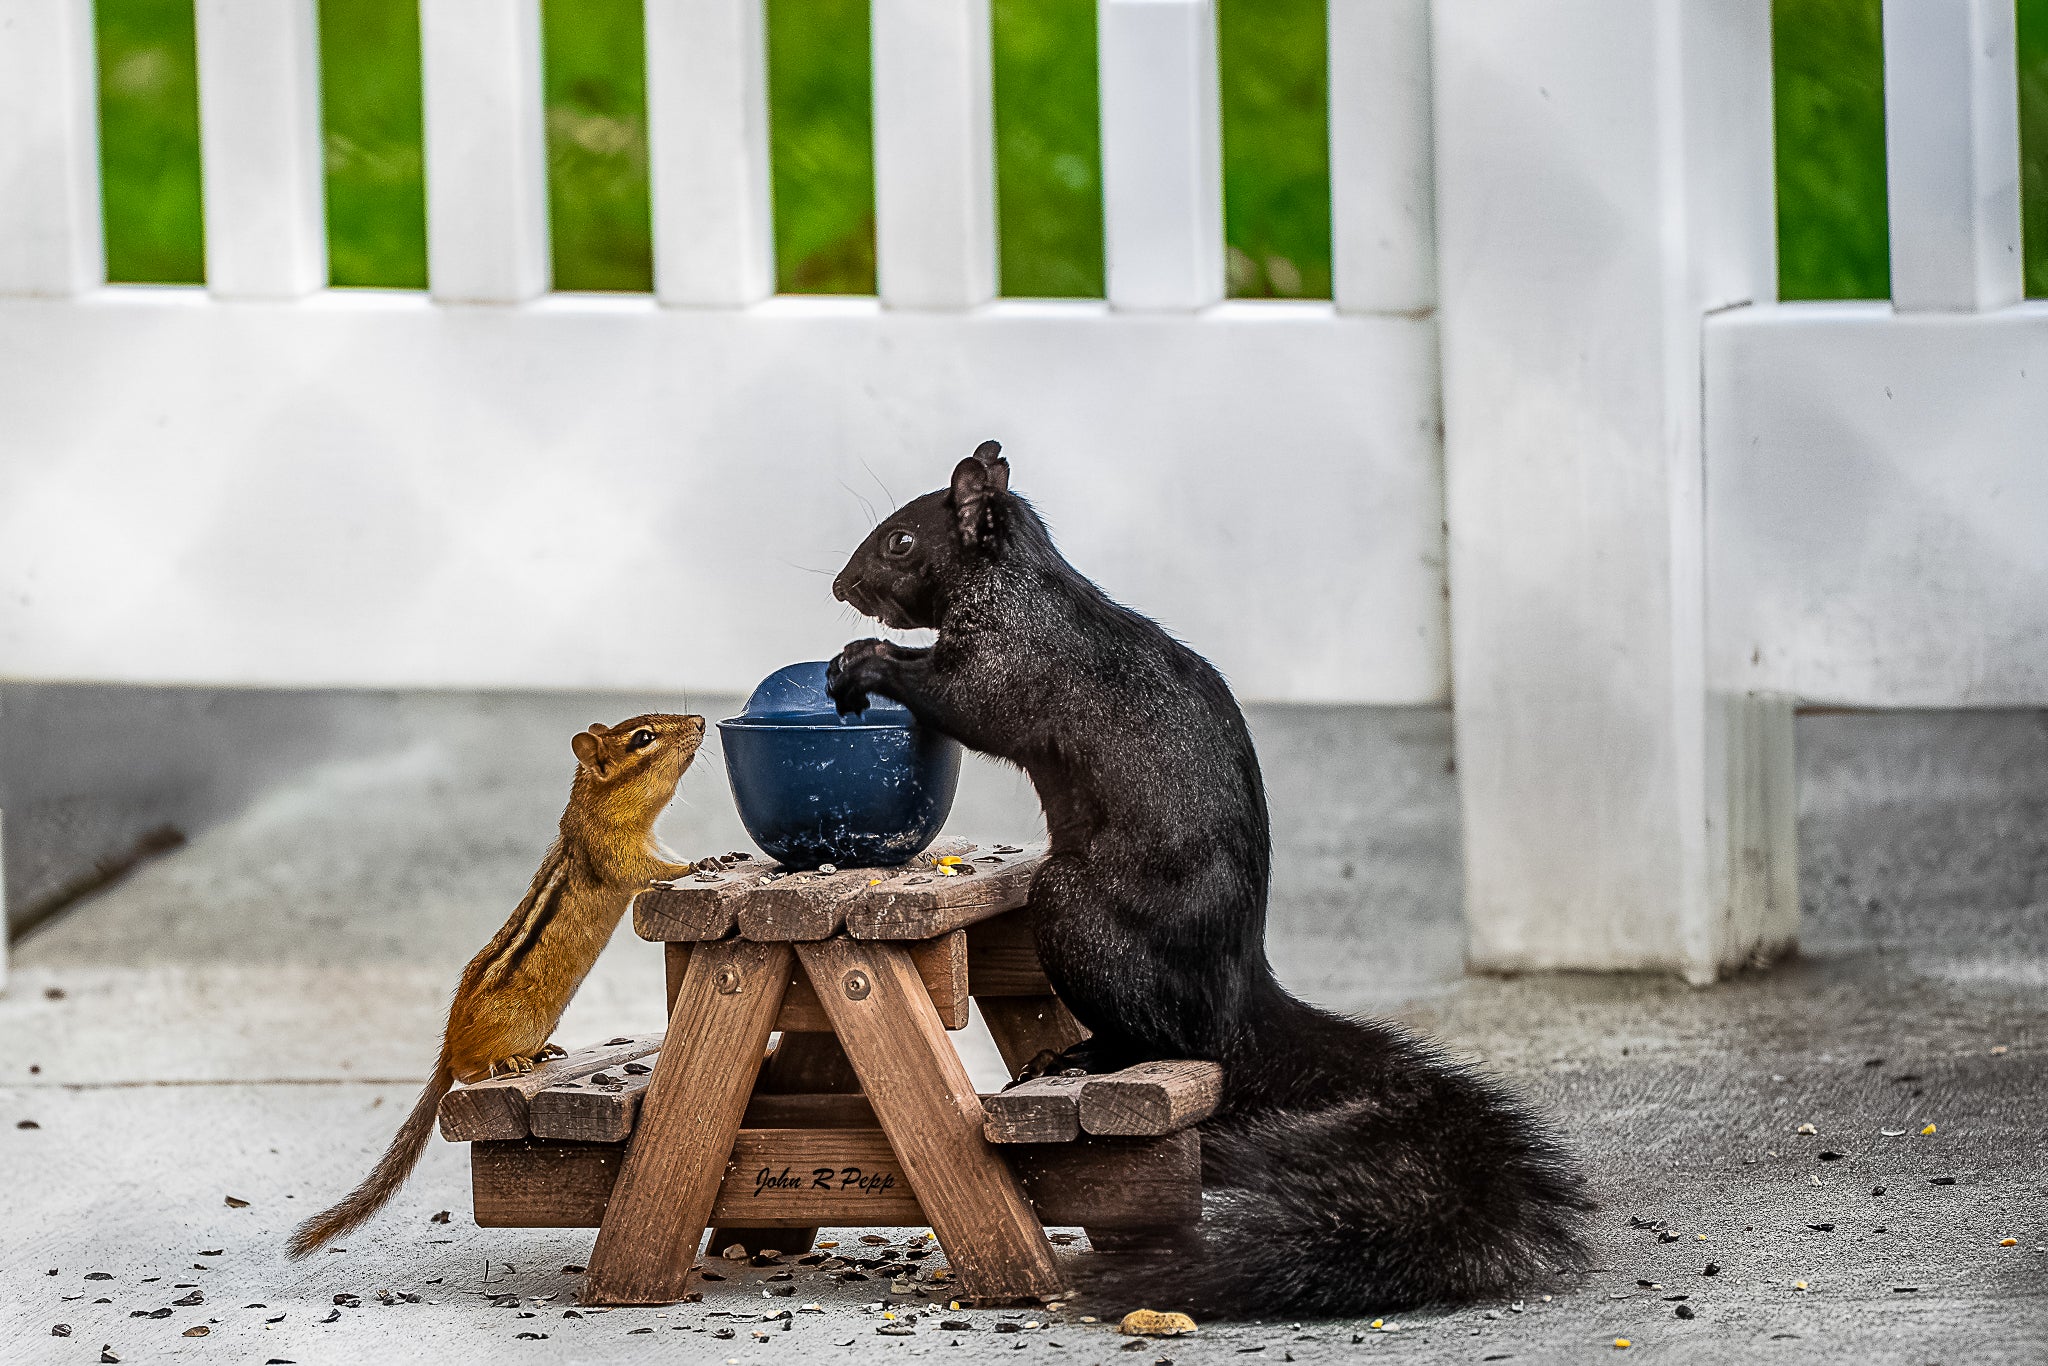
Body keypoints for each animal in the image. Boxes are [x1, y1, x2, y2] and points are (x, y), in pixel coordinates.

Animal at [287, 713, 705, 1260]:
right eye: (644, 738)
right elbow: (650, 871)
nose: (701, 721)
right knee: (466, 1073)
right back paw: (503, 1063)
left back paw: (540, 1053)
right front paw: (699, 865)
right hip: (502, 1032)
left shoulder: (648, 841)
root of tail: (449, 1044)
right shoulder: (615, 853)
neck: (596, 806)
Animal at [826, 442, 1591, 1316]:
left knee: (1168, 1037)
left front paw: (866, 664)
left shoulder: (1013, 666)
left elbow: (966, 702)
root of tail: (1238, 1001)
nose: (842, 588)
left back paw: (1089, 1057)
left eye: (900, 542)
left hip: (1078, 915)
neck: (1016, 584)